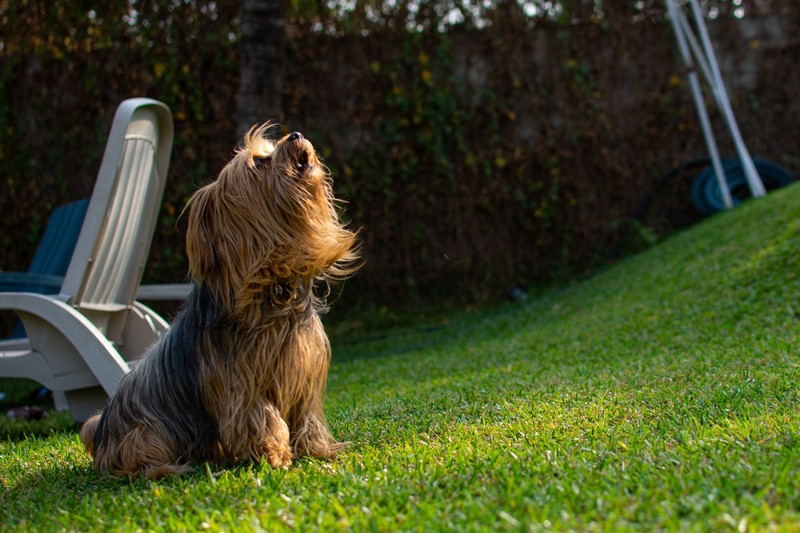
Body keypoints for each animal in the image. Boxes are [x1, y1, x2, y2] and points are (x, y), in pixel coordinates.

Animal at [79, 124, 360, 478]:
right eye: (259, 162)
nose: (295, 134)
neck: (271, 286)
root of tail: (101, 431)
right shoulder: (238, 381)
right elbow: (259, 415)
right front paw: (274, 453)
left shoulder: (303, 370)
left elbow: (305, 415)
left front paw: (317, 449)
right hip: (146, 431)